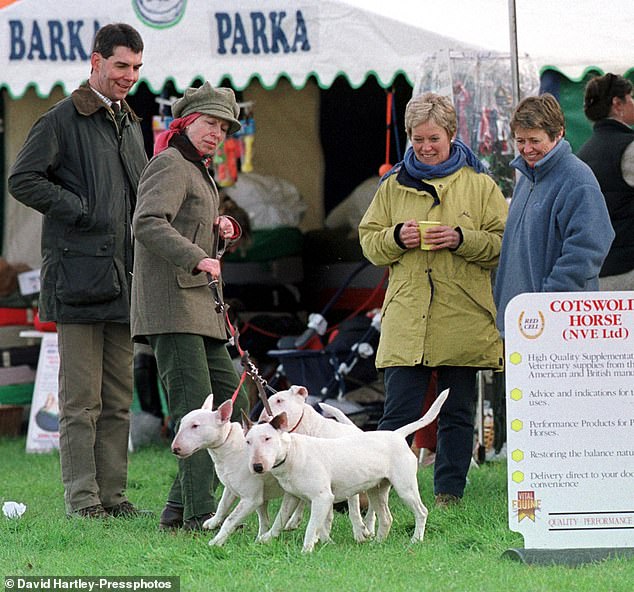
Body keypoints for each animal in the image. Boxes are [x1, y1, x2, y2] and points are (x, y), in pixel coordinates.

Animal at [244, 388, 446, 552]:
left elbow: (313, 525)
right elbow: (281, 518)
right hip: (377, 490)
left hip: (405, 487)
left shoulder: (323, 497)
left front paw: (307, 550)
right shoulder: (292, 497)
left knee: (421, 512)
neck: (292, 452)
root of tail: (397, 435)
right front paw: (266, 538)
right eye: (248, 442)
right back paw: (377, 543)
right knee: (386, 518)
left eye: (268, 438)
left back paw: (415, 540)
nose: (257, 466)